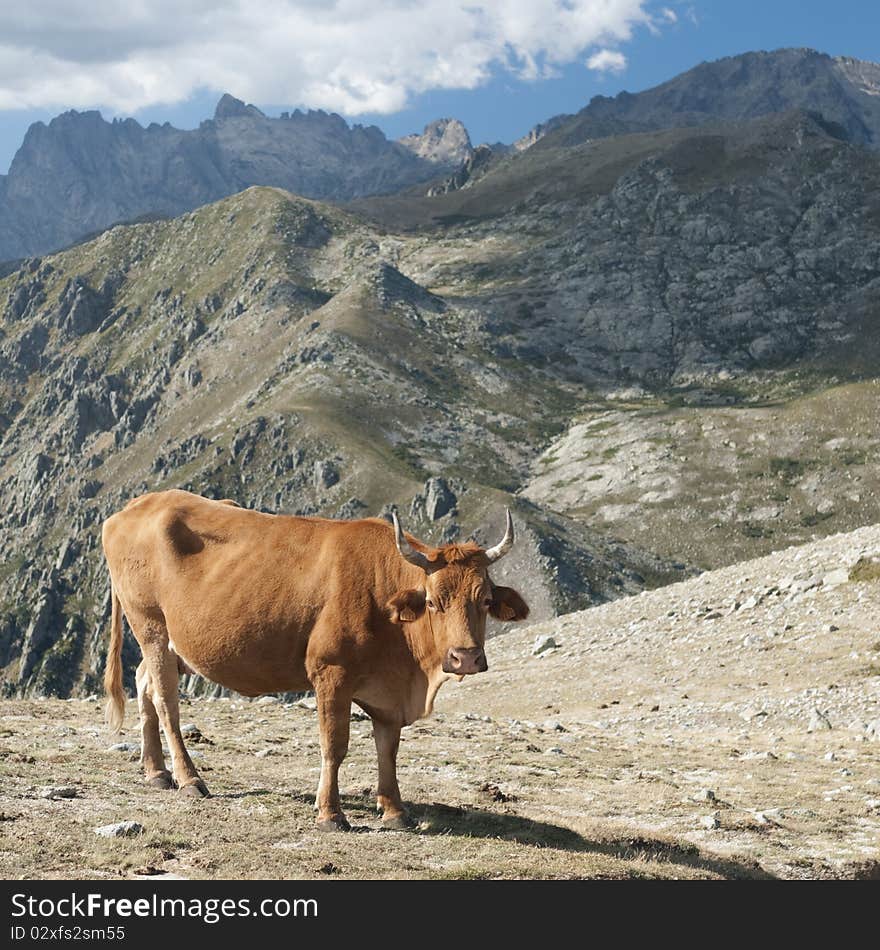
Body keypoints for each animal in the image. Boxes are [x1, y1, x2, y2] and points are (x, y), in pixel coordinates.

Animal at [103, 494, 528, 828]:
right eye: (434, 602)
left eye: (486, 600)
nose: (465, 657)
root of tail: (137, 505)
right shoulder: (331, 672)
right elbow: (334, 745)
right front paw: (331, 814)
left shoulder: (388, 693)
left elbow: (388, 748)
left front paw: (394, 810)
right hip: (152, 627)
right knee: (165, 701)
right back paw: (189, 779)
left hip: (172, 646)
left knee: (144, 684)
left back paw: (156, 772)